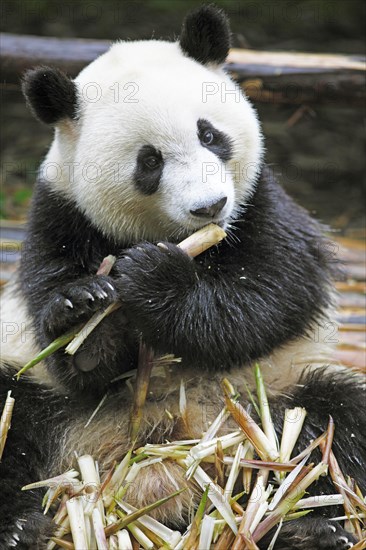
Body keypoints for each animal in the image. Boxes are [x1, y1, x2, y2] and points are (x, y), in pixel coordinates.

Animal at [0, 5, 364, 550]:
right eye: (149, 161)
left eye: (209, 134)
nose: (209, 206)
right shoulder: (59, 215)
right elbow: (71, 351)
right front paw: (84, 309)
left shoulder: (260, 206)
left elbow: (267, 298)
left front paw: (153, 277)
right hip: (49, 405)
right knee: (11, 412)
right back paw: (20, 527)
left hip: (279, 390)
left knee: (335, 420)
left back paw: (313, 527)